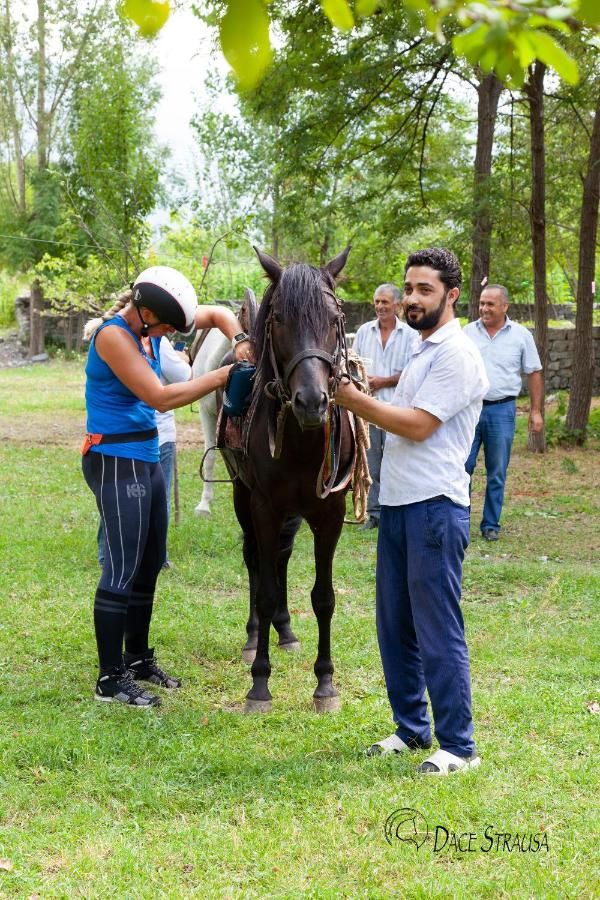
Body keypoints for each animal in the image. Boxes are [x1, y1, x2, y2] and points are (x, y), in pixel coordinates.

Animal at [224, 244, 356, 712]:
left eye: (334, 319)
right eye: (280, 318)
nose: (312, 401)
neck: (302, 440)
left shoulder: (329, 513)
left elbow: (324, 597)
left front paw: (325, 682)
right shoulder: (264, 506)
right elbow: (263, 591)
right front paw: (259, 684)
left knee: (279, 556)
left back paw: (284, 631)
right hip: (242, 496)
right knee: (255, 560)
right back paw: (253, 639)